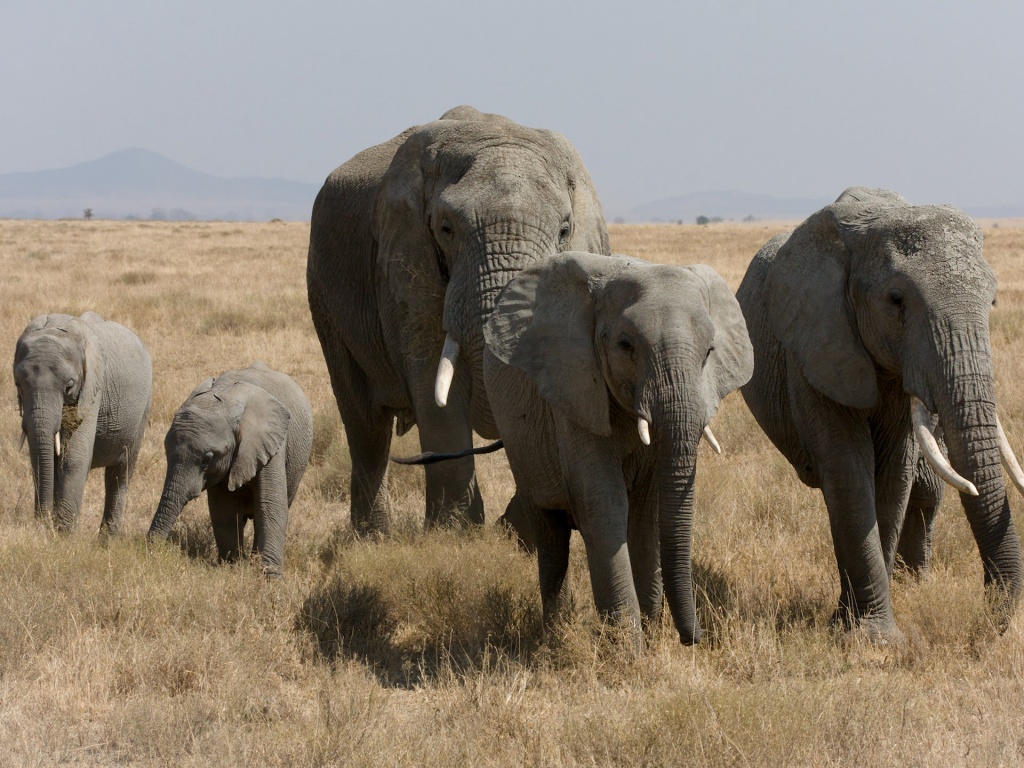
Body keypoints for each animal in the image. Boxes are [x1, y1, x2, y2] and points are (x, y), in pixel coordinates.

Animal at [13, 312, 152, 534]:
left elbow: (74, 458)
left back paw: (108, 540)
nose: (43, 522)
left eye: (69, 385)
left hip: (143, 410)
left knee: (120, 474)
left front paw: (64, 534)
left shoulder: (94, 387)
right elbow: (43, 457)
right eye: (18, 384)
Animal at [147, 362, 313, 577]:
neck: (226, 395)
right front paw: (232, 567)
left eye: (207, 458)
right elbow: (223, 508)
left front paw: (270, 579)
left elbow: (271, 504)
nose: (152, 551)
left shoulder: (271, 443)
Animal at [306, 105, 609, 534]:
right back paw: (373, 536)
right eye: (446, 228)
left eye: (565, 229)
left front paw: (517, 529)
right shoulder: (405, 261)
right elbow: (433, 379)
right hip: (324, 293)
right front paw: (455, 532)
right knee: (365, 423)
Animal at [480, 252, 754, 646]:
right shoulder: (575, 388)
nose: (698, 638)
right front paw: (627, 646)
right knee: (550, 536)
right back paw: (556, 635)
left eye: (708, 354)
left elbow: (645, 513)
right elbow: (604, 504)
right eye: (626, 346)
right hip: (519, 439)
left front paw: (650, 636)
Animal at [736, 186, 1024, 642]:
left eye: (992, 300)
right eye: (896, 300)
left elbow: (893, 475)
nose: (986, 627)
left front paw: (862, 631)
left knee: (925, 486)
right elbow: (850, 473)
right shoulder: (815, 348)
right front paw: (873, 639)